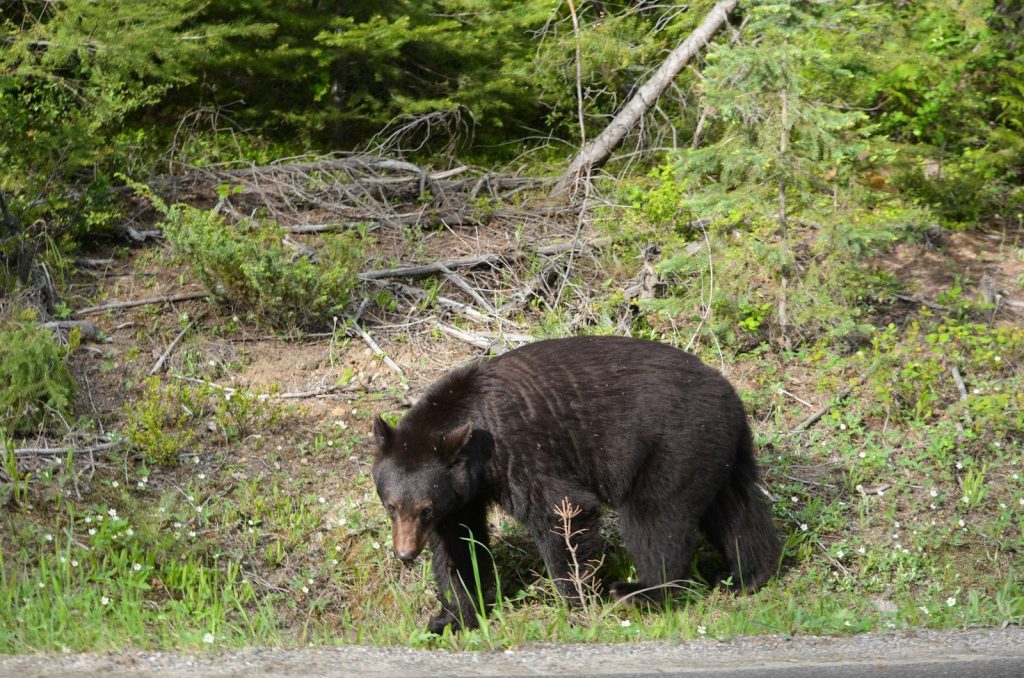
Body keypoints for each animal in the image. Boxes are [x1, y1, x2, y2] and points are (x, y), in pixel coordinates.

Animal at [371, 335, 780, 633]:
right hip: (716, 450)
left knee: (656, 516)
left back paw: (640, 591)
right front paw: (452, 617)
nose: (405, 554)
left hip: (672, 446)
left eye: (424, 508)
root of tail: (730, 393)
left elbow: (561, 509)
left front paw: (576, 599)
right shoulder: (462, 492)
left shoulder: (519, 452)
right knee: (735, 507)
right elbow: (460, 547)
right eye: (392, 506)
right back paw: (746, 575)